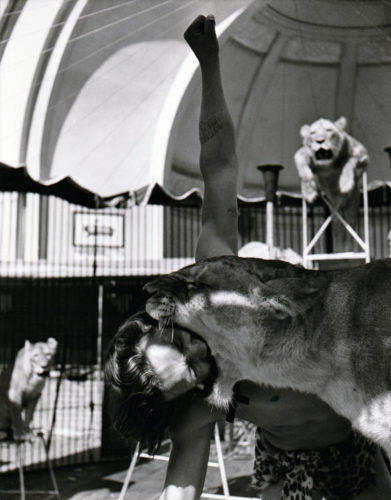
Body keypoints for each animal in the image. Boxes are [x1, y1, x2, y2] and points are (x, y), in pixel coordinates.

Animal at [296, 117, 370, 254]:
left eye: (329, 130)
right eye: (312, 133)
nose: (319, 141)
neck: (327, 164)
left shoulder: (362, 153)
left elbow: (350, 162)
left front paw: (345, 183)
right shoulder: (302, 154)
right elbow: (303, 169)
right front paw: (309, 192)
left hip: (351, 204)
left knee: (350, 227)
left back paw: (347, 251)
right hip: (334, 210)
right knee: (337, 228)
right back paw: (338, 250)